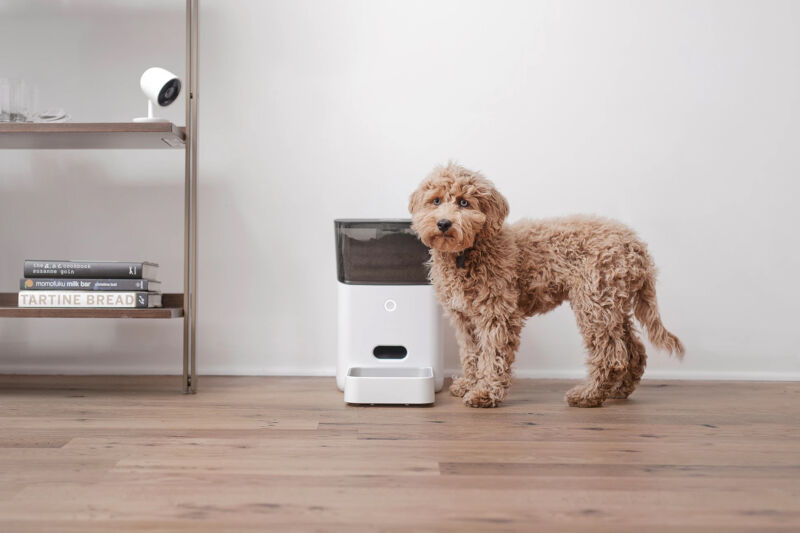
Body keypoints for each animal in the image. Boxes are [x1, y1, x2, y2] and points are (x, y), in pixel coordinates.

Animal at [410, 162, 684, 408]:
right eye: (435, 201)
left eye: (464, 203)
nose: (444, 224)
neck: (467, 252)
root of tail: (637, 246)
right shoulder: (464, 318)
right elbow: (471, 354)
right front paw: (469, 383)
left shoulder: (498, 314)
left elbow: (493, 354)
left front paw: (484, 392)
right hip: (613, 303)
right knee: (633, 350)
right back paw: (619, 390)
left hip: (594, 303)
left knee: (611, 355)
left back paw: (589, 395)